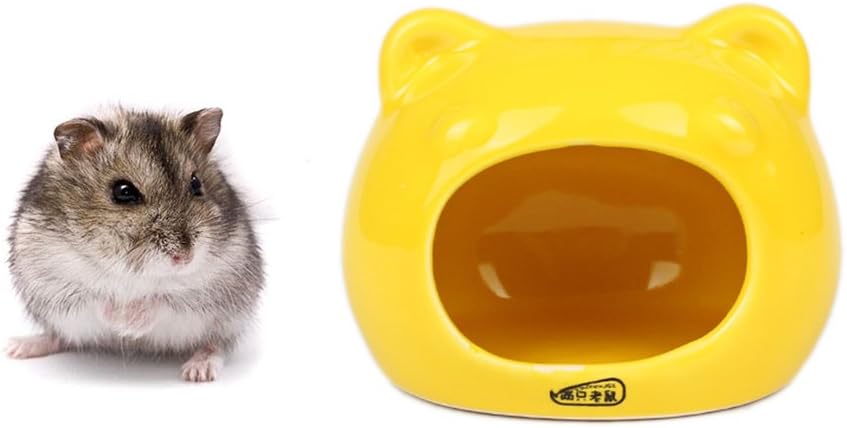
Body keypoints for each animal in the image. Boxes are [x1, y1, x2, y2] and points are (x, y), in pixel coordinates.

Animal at [5, 107, 263, 382]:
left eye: (196, 183)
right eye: (123, 191)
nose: (185, 258)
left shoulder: (216, 282)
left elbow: (164, 299)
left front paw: (129, 325)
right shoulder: (55, 280)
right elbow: (96, 298)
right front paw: (121, 323)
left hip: (228, 319)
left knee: (216, 343)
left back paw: (199, 370)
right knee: (61, 337)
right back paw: (18, 347)